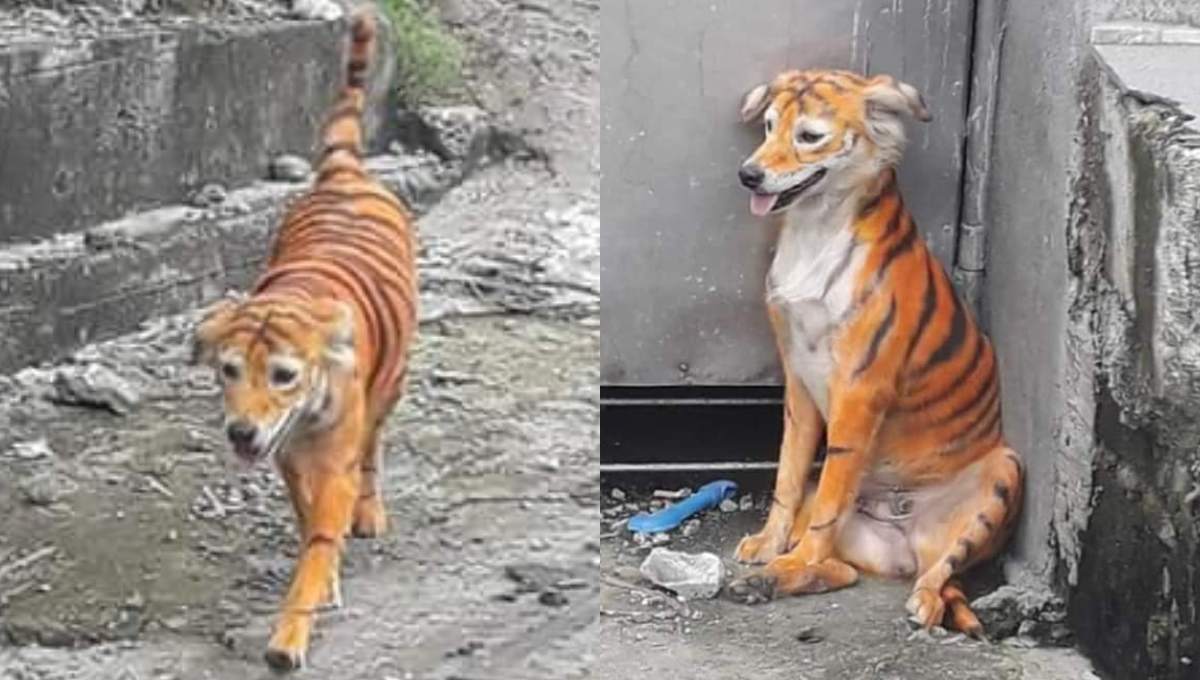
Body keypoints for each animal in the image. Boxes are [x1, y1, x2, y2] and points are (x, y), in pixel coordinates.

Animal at [191, 10, 418, 670]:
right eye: (228, 370)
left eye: (284, 375)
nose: (241, 432)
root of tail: (344, 172)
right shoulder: (288, 456)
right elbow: (305, 517)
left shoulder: (333, 460)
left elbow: (319, 539)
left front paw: (289, 636)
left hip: (391, 388)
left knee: (374, 448)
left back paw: (370, 511)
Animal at [725, 68, 1023, 637]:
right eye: (769, 126)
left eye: (809, 136)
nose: (748, 175)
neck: (814, 229)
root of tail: (905, 534)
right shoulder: (798, 381)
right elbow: (787, 475)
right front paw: (771, 547)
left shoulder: (859, 388)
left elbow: (828, 502)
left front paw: (792, 557)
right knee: (842, 571)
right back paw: (767, 580)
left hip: (1005, 471)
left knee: (938, 578)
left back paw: (917, 603)